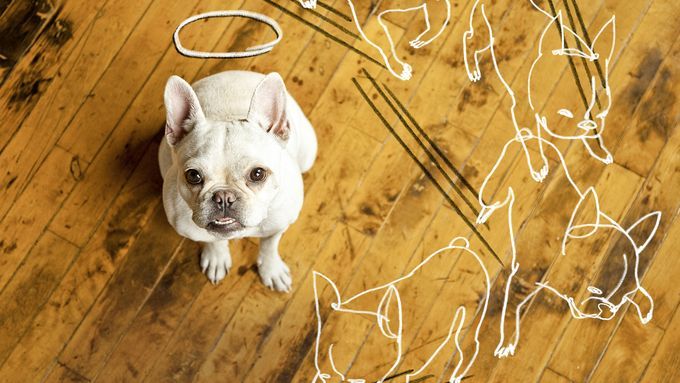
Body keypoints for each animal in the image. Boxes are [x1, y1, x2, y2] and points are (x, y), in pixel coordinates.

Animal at [159, 72, 318, 292]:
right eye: (193, 175)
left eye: (258, 174)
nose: (224, 196)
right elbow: (211, 240)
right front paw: (216, 257)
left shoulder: (278, 225)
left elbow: (269, 246)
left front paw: (271, 269)